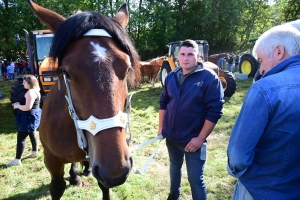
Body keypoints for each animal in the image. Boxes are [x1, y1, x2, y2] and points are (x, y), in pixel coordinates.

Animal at [25, 0, 141, 199]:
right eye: (66, 72)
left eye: (127, 68)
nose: (115, 170)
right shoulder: (51, 161)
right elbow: (57, 187)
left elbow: (104, 187)